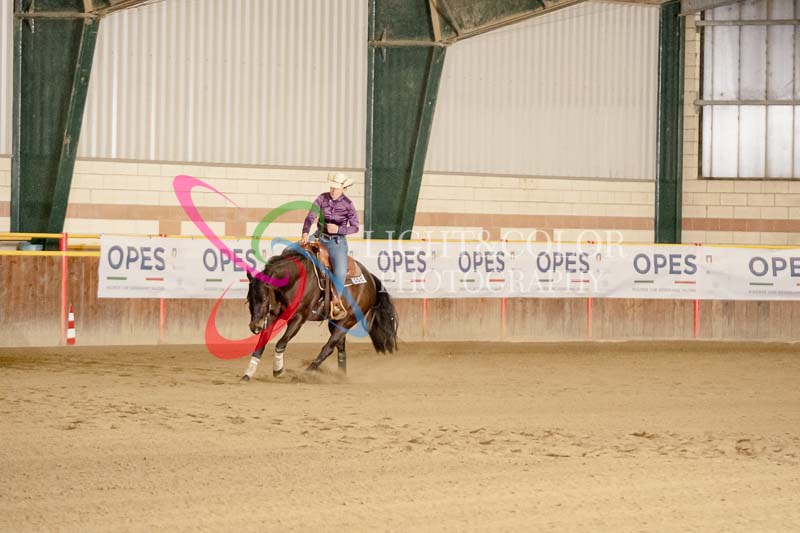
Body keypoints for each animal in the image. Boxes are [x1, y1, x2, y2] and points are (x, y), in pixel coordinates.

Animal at [241, 244, 398, 380]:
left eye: (263, 298)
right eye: (249, 299)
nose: (254, 327)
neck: (296, 279)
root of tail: (370, 279)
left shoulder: (299, 318)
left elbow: (280, 343)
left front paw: (278, 370)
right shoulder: (272, 316)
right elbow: (261, 344)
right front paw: (248, 374)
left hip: (347, 321)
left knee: (329, 347)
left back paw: (307, 373)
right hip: (334, 322)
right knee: (340, 347)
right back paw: (340, 377)